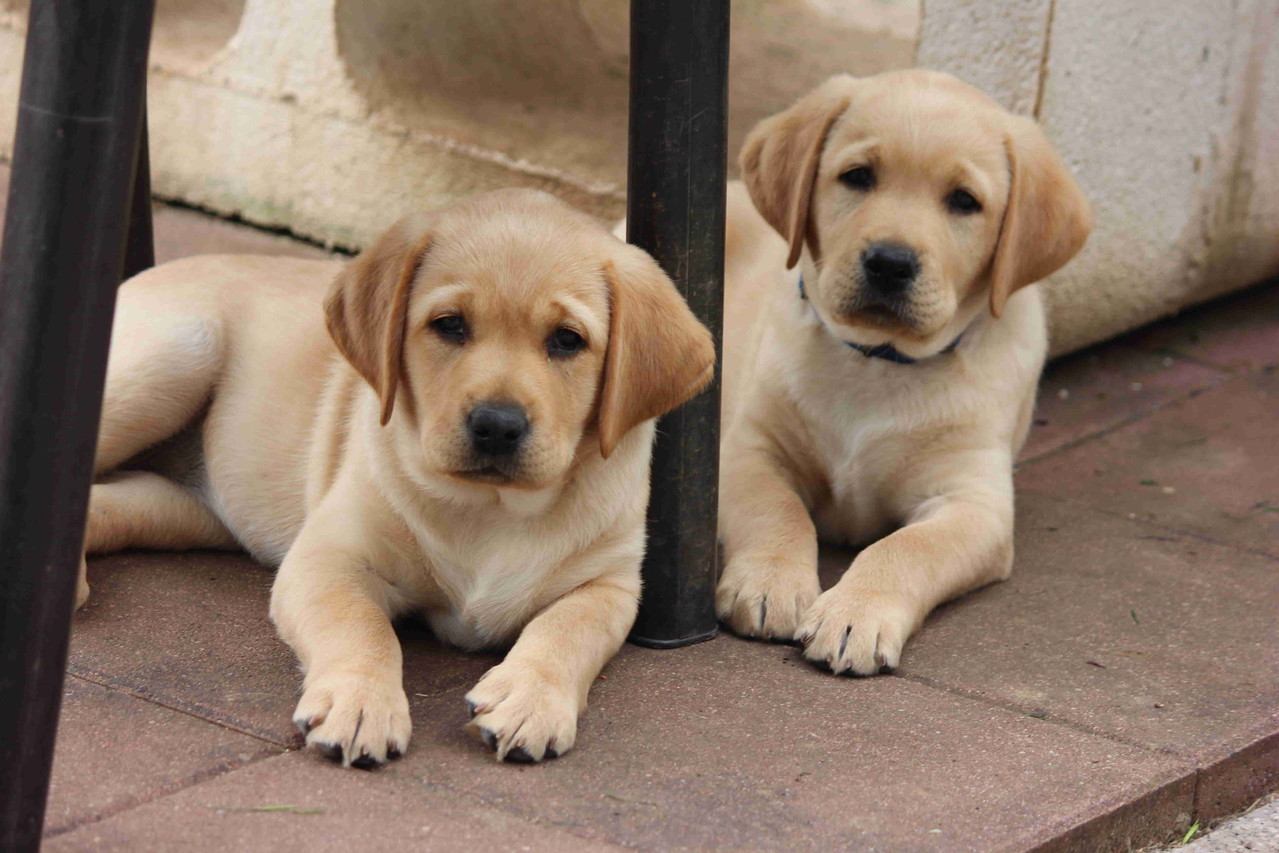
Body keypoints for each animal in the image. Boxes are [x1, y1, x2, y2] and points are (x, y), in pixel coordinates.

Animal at [78, 191, 716, 767]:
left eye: (567, 340)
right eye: (450, 325)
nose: (497, 425)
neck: (493, 506)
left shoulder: (610, 584)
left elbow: (568, 629)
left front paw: (530, 699)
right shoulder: (329, 557)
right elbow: (362, 627)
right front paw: (361, 702)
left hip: (187, 507)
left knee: (107, 502)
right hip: (175, 356)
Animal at [716, 71, 1094, 675]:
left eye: (964, 201)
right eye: (857, 176)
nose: (890, 263)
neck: (878, 361)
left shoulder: (974, 501)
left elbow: (907, 547)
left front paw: (856, 614)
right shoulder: (749, 450)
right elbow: (776, 511)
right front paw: (770, 581)